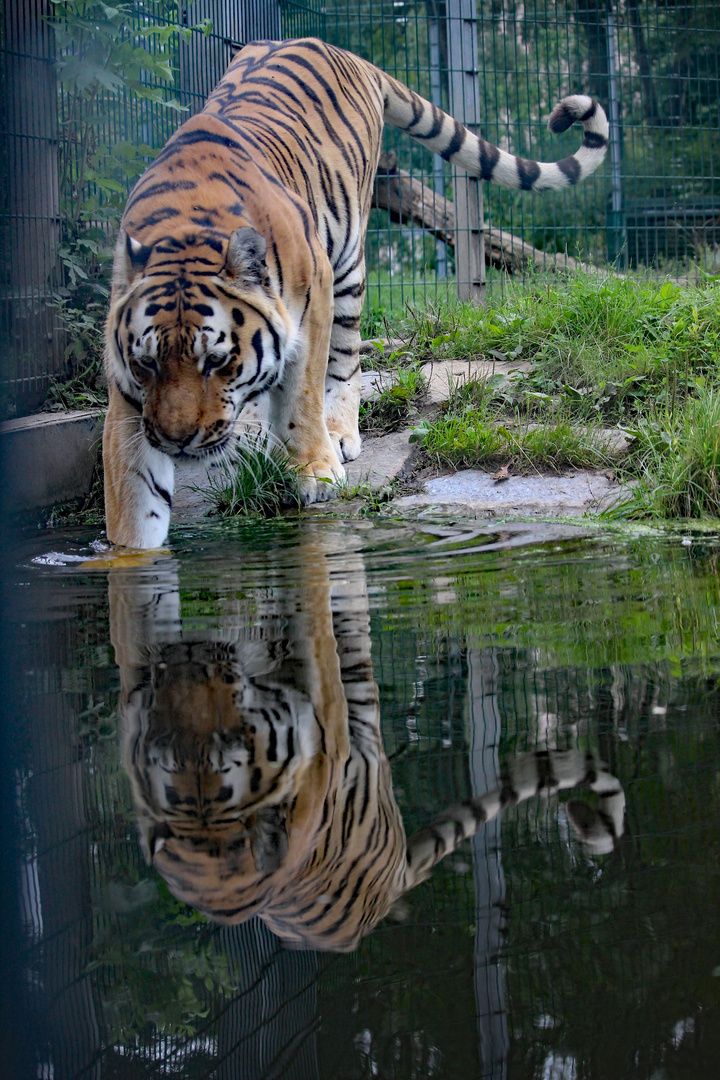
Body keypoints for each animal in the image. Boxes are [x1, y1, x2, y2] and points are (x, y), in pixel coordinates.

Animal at [101, 34, 608, 548]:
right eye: (147, 364)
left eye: (217, 361)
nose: (177, 441)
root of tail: (339, 50)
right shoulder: (128, 389)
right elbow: (131, 487)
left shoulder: (312, 300)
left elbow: (302, 394)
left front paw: (313, 471)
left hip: (347, 261)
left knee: (346, 360)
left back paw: (338, 433)